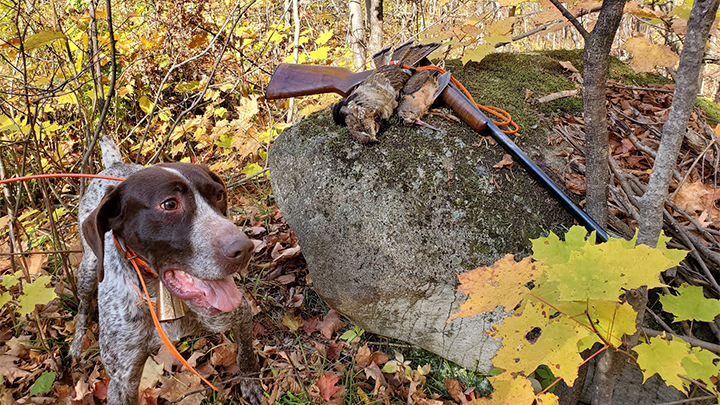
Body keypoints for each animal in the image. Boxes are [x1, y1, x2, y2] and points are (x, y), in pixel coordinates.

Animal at [68, 137, 262, 404]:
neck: (162, 297)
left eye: (219, 195)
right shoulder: (121, 381)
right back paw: (76, 344)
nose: (244, 249)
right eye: (170, 204)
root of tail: (114, 163)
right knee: (84, 306)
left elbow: (246, 353)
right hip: (88, 270)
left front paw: (251, 381)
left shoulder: (240, 313)